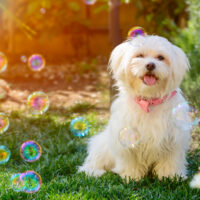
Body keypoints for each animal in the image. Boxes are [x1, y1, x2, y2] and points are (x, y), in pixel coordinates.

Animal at [78, 34, 191, 181]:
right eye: (140, 55)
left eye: (160, 57)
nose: (150, 65)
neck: (149, 100)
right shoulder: (126, 137)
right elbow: (130, 160)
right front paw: (131, 176)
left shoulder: (174, 139)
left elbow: (170, 161)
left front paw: (171, 177)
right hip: (101, 145)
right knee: (93, 161)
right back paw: (93, 171)